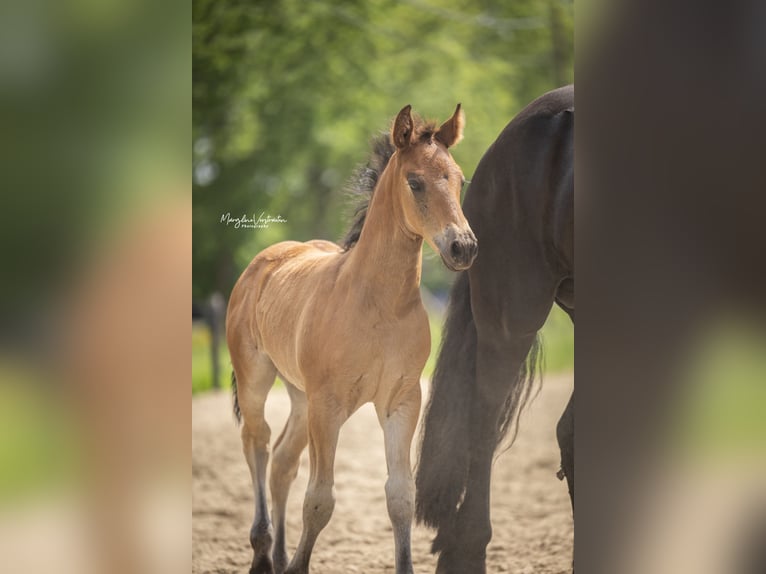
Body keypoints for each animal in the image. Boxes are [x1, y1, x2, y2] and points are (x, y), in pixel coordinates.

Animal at [228, 104, 476, 574]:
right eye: (414, 181)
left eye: (460, 179)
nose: (463, 247)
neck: (378, 303)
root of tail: (263, 261)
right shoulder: (328, 404)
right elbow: (319, 500)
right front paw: (298, 566)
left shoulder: (401, 401)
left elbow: (401, 497)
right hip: (257, 378)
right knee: (258, 443)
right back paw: (263, 552)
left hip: (300, 396)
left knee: (282, 462)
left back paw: (279, 554)